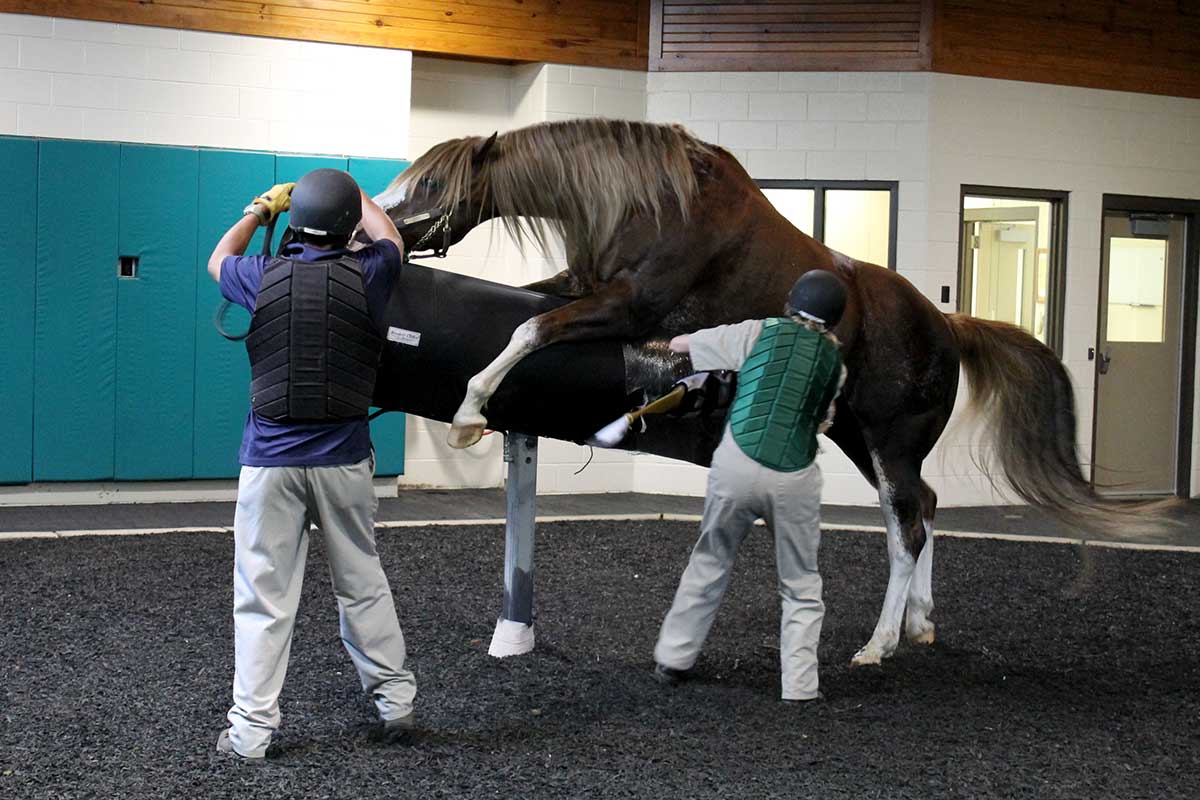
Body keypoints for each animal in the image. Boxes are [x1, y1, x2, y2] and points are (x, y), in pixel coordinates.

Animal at [371, 118, 1152, 667]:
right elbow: (528, 312)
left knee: (908, 526)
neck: (655, 205)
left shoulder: (625, 309)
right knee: (923, 513)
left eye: (431, 186)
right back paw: (919, 623)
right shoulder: (580, 288)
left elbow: (527, 328)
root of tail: (948, 325)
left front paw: (468, 411)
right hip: (860, 439)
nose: (379, 217)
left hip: (889, 446)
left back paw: (878, 645)